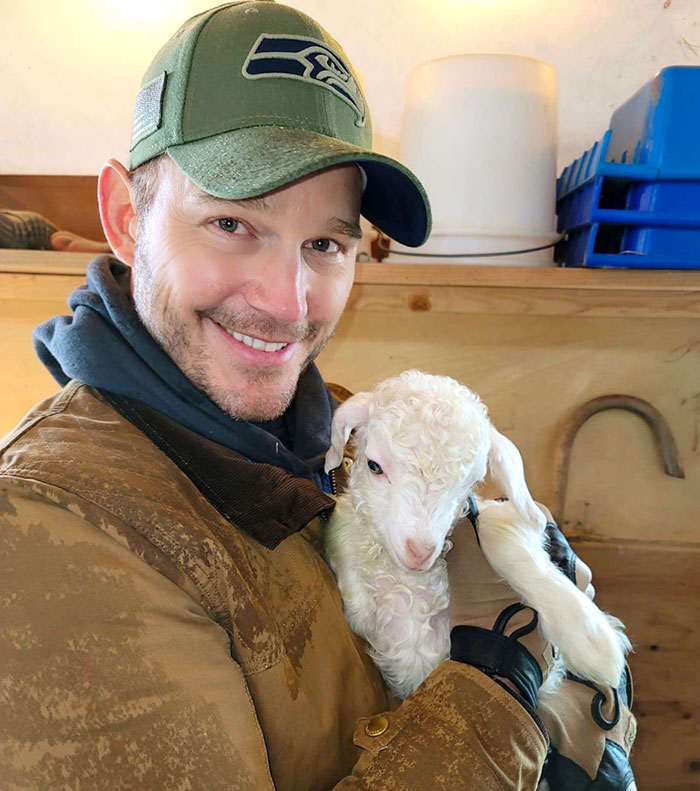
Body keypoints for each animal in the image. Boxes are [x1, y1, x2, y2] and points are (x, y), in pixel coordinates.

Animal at [323, 370, 630, 700]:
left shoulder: (489, 514)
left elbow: (497, 530)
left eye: (470, 483)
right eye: (374, 465)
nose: (419, 553)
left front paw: (594, 644)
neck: (413, 582)